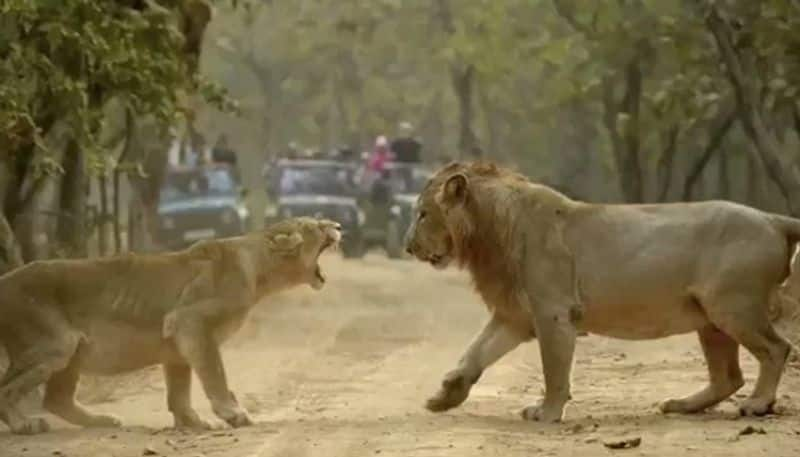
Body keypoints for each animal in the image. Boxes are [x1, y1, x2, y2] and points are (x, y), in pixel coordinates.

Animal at [0, 216, 340, 432]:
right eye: (316, 226)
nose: (338, 226)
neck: (258, 268)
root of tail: (6, 279)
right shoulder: (190, 321)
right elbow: (215, 374)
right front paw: (232, 414)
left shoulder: (177, 344)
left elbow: (180, 391)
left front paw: (194, 423)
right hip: (56, 345)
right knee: (8, 388)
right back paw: (24, 425)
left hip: (72, 351)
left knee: (56, 399)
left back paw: (103, 421)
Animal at [410, 162, 796, 422]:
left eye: (423, 214)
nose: (407, 247)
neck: (488, 234)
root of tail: (772, 218)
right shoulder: (515, 315)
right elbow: (474, 354)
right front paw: (444, 397)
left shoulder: (553, 312)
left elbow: (554, 370)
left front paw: (547, 413)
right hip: (711, 319)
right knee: (728, 377)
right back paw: (681, 405)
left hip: (732, 306)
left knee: (777, 349)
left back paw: (758, 404)